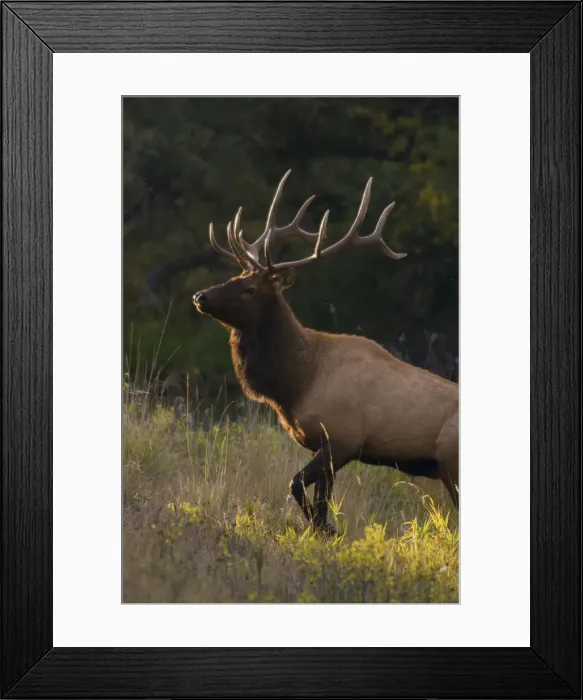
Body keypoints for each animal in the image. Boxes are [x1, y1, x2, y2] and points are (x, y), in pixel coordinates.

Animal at [193, 171, 459, 534]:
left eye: (250, 289)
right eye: (235, 275)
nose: (200, 296)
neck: (296, 384)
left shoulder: (343, 439)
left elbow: (297, 488)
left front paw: (330, 530)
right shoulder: (325, 444)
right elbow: (319, 504)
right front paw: (326, 532)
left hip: (450, 460)